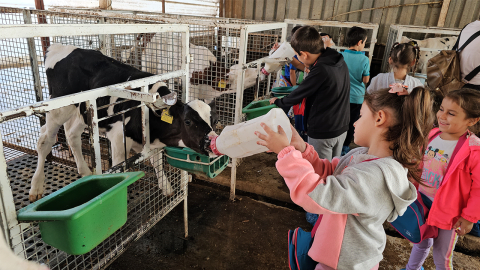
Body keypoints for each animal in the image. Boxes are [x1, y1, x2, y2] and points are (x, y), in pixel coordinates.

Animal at [28, 43, 218, 200]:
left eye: (214, 120)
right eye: (188, 121)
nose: (211, 142)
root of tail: (58, 47)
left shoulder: (149, 142)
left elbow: (156, 161)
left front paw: (166, 187)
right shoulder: (118, 139)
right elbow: (119, 168)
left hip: (83, 111)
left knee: (72, 134)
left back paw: (85, 172)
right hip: (59, 108)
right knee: (44, 140)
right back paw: (36, 187)